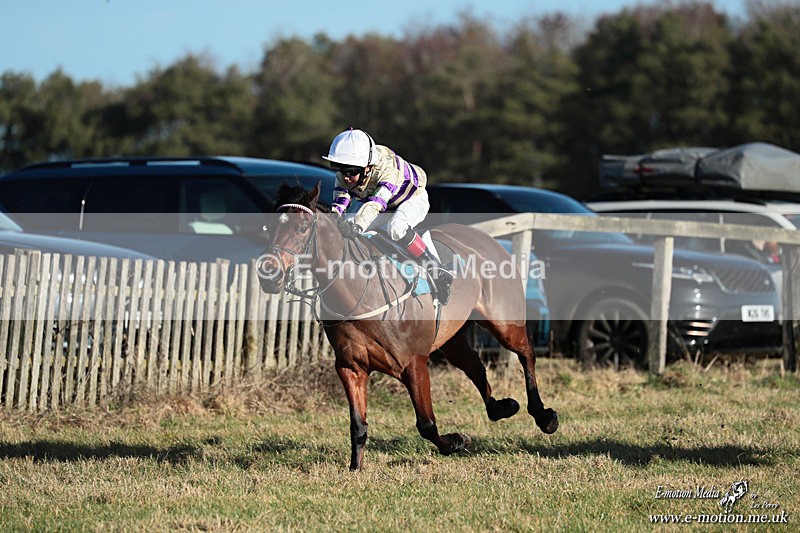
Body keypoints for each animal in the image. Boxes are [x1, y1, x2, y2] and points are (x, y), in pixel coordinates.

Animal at [257, 182, 558, 470]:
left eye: (301, 227)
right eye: (269, 227)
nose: (268, 274)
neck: (360, 292)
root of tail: (488, 240)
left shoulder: (414, 364)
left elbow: (426, 424)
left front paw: (456, 441)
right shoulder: (351, 367)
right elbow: (358, 426)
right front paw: (355, 468)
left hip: (504, 322)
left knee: (526, 353)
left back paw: (544, 416)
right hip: (452, 338)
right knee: (475, 366)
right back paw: (501, 408)